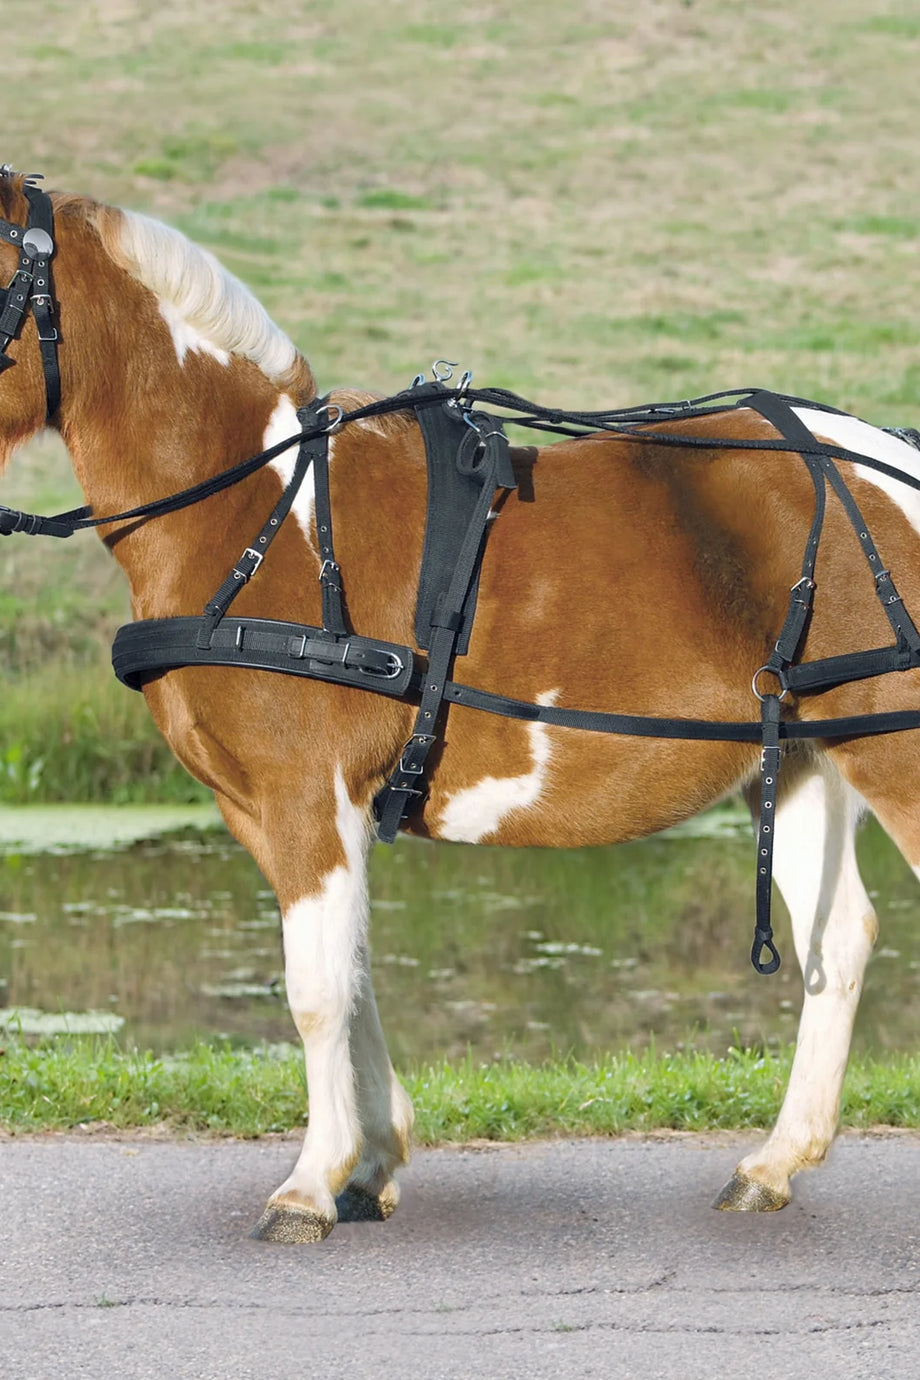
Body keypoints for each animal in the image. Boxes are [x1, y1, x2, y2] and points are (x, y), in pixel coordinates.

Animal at [1, 169, 919, 1244]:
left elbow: (315, 989)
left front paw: (308, 1184)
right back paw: (774, 1163)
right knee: (836, 940)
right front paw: (369, 1162)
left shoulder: (304, 798)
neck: (257, 508)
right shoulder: (280, 810)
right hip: (813, 757)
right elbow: (352, 971)